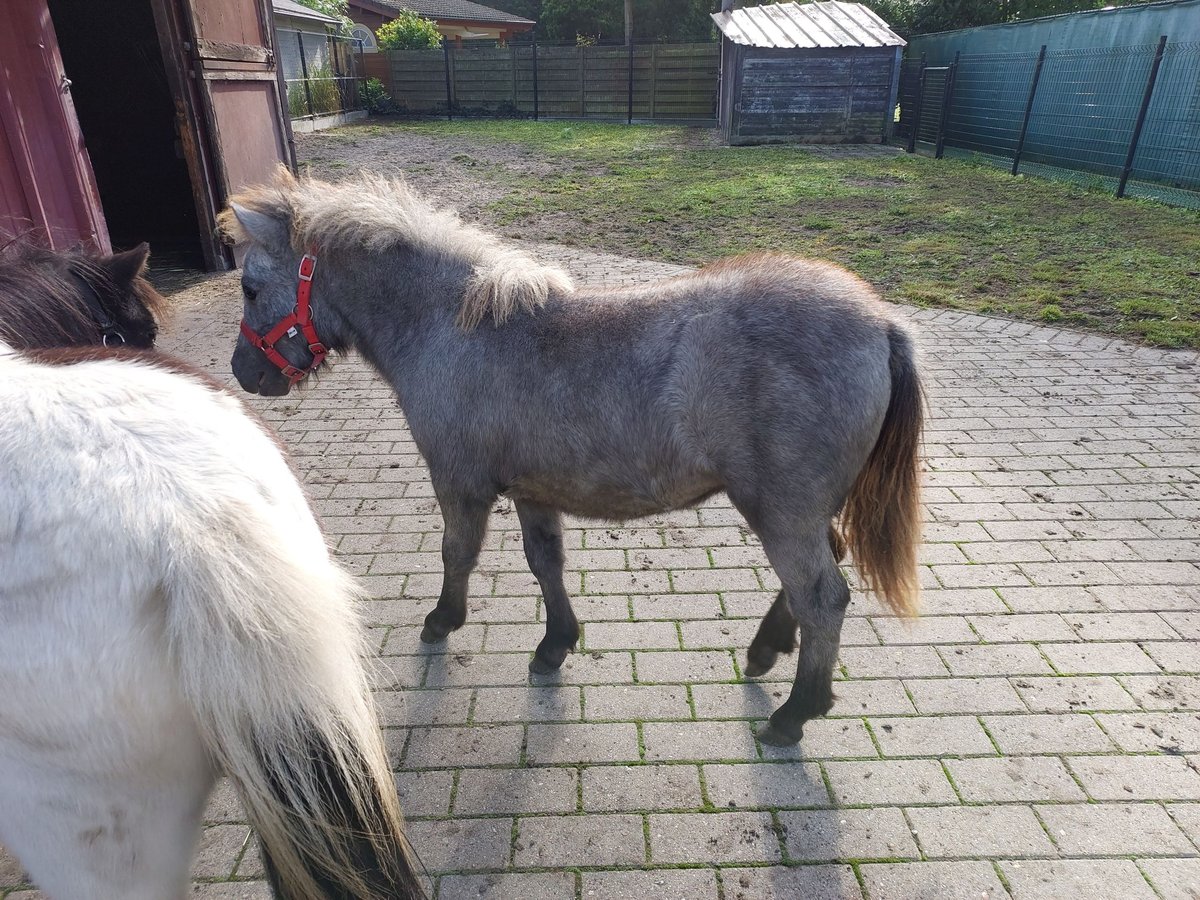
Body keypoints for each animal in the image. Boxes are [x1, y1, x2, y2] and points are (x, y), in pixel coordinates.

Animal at [220, 170, 921, 748]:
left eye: (251, 288)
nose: (244, 372)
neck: (452, 328)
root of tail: (882, 323)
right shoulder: (534, 491)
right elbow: (545, 563)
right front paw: (556, 643)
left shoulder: (459, 483)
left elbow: (457, 554)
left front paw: (443, 620)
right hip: (801, 510)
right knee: (819, 574)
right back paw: (766, 652)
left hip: (781, 511)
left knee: (821, 596)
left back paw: (794, 712)